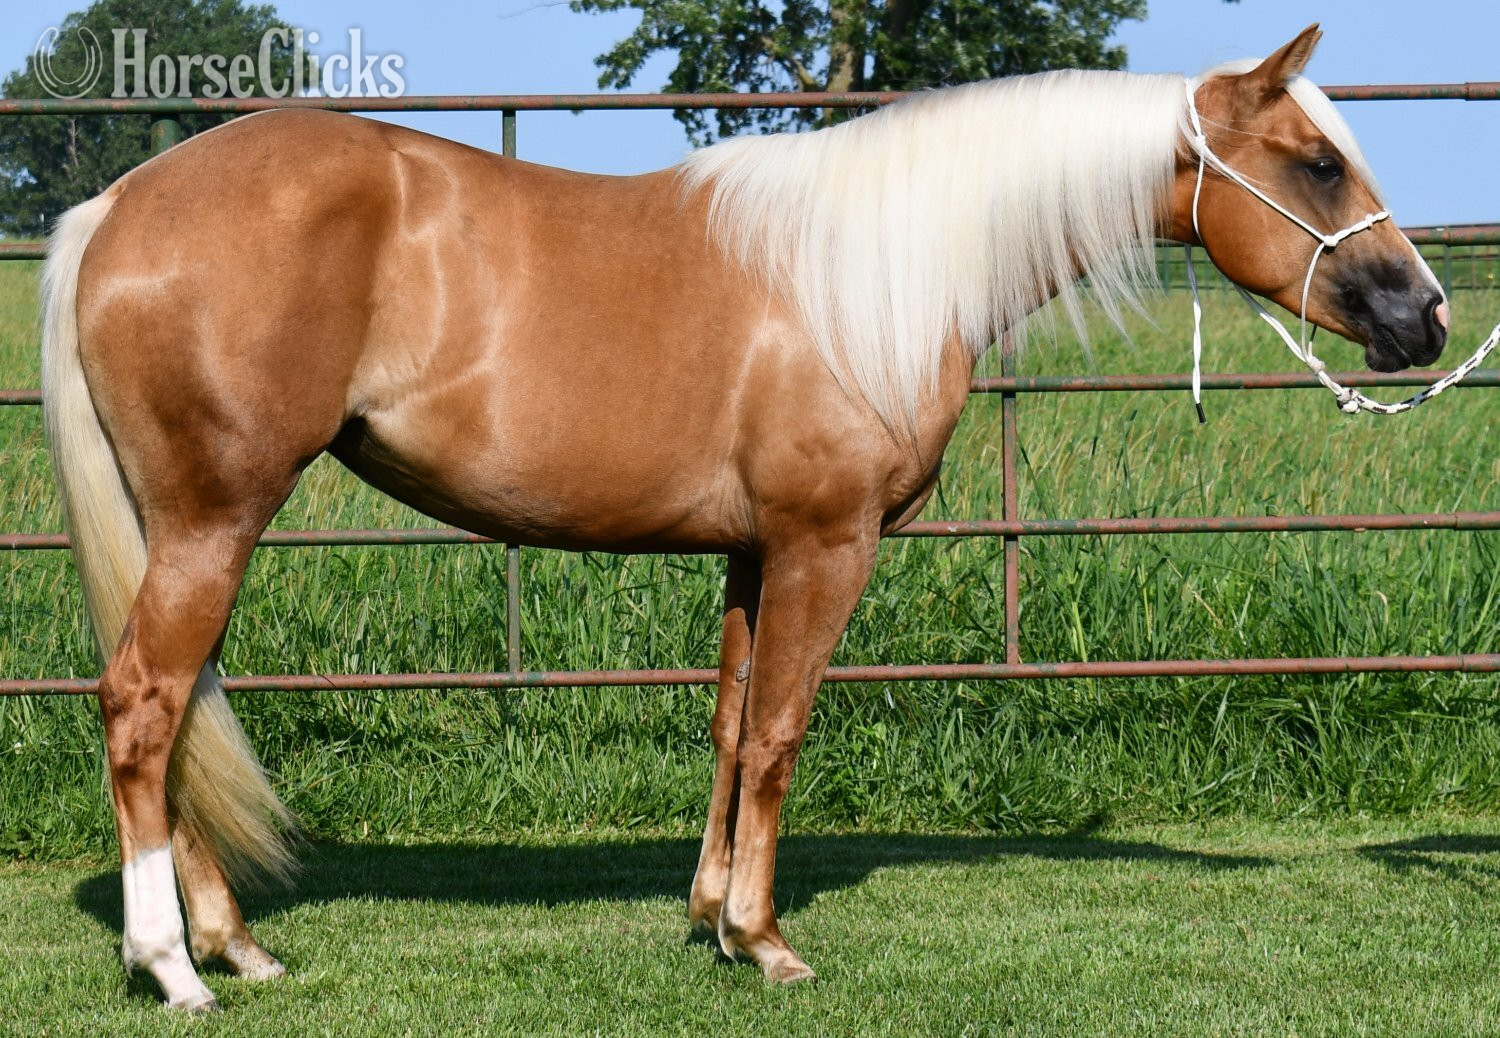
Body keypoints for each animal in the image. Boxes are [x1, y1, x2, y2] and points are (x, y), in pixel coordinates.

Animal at [40, 25, 1447, 1009]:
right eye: (1319, 163)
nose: (1424, 317)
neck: (874, 274)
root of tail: (117, 205)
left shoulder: (749, 554)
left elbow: (724, 728)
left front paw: (710, 918)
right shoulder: (827, 545)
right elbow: (778, 733)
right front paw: (768, 944)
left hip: (193, 524)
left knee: (182, 708)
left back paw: (236, 946)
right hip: (216, 517)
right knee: (145, 705)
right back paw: (173, 967)